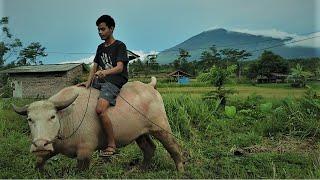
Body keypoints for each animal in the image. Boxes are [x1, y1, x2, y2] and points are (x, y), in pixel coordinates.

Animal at [12, 77, 184, 172]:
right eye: (29, 119)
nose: (40, 144)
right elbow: (39, 162)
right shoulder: (51, 147)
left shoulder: (85, 152)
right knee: (149, 148)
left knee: (174, 146)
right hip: (140, 133)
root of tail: (149, 86)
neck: (66, 118)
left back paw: (180, 170)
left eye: (52, 116)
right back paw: (141, 169)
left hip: (160, 127)